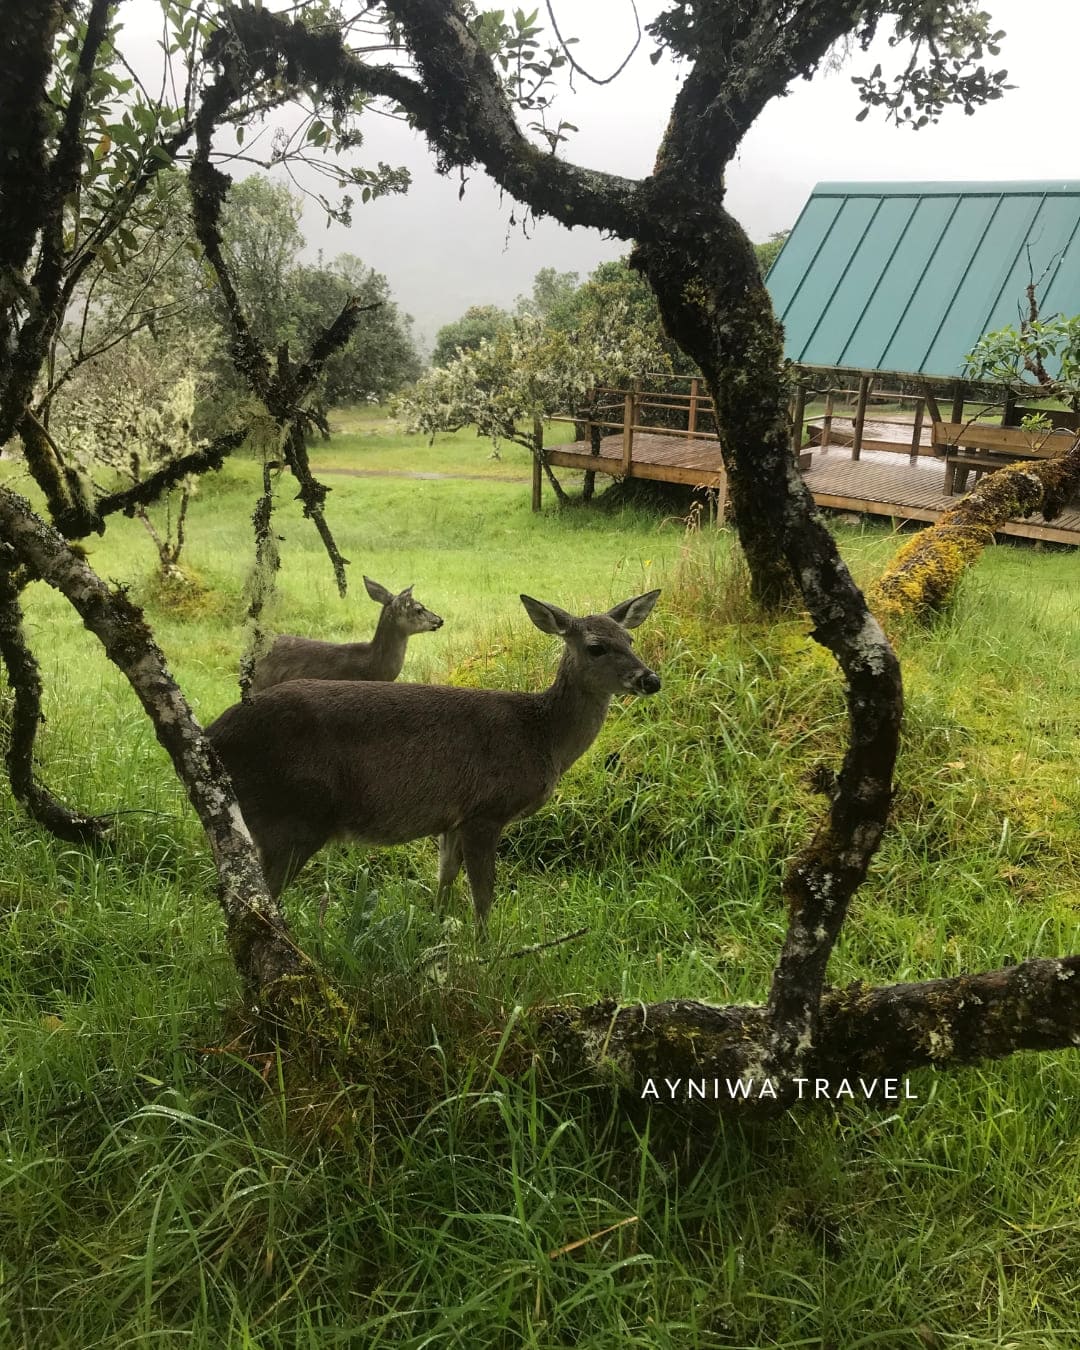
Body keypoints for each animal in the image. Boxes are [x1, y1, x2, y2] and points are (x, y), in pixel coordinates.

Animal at [207, 589, 661, 929]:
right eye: (596, 647)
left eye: (631, 641)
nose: (651, 679)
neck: (541, 735)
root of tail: (213, 735)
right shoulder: (487, 810)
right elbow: (483, 896)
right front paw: (484, 953)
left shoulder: (453, 817)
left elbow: (445, 879)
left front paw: (438, 929)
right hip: (293, 814)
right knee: (255, 902)